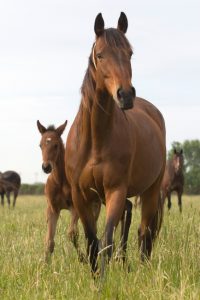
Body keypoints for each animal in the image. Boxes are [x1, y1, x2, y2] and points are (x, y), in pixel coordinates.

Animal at [37, 120, 87, 262]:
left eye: (56, 145)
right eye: (40, 145)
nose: (46, 167)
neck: (60, 181)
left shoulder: (74, 207)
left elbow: (72, 234)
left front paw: (83, 258)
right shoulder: (53, 209)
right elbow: (49, 240)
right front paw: (45, 263)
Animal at [65, 12, 166, 274]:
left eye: (129, 53)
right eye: (100, 54)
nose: (126, 95)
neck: (96, 141)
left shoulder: (115, 190)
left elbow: (106, 241)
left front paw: (104, 276)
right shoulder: (82, 196)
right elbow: (92, 242)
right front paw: (95, 275)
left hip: (152, 191)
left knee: (145, 233)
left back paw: (140, 269)